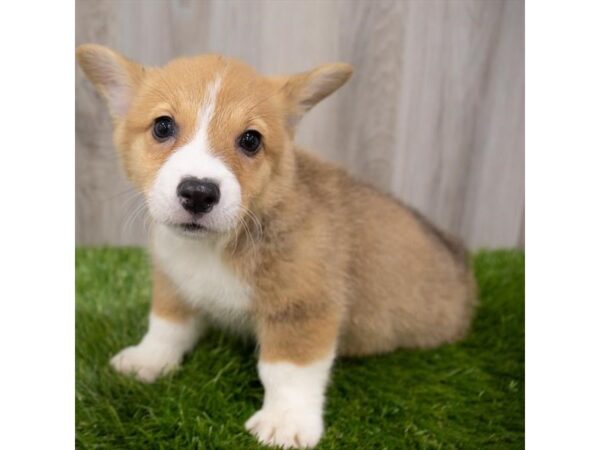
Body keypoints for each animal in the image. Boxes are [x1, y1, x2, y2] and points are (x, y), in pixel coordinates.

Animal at [77, 44, 476, 448]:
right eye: (163, 126)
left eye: (251, 140)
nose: (198, 192)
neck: (215, 247)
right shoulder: (174, 283)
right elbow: (166, 326)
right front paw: (148, 359)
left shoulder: (302, 307)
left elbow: (286, 370)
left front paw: (285, 422)